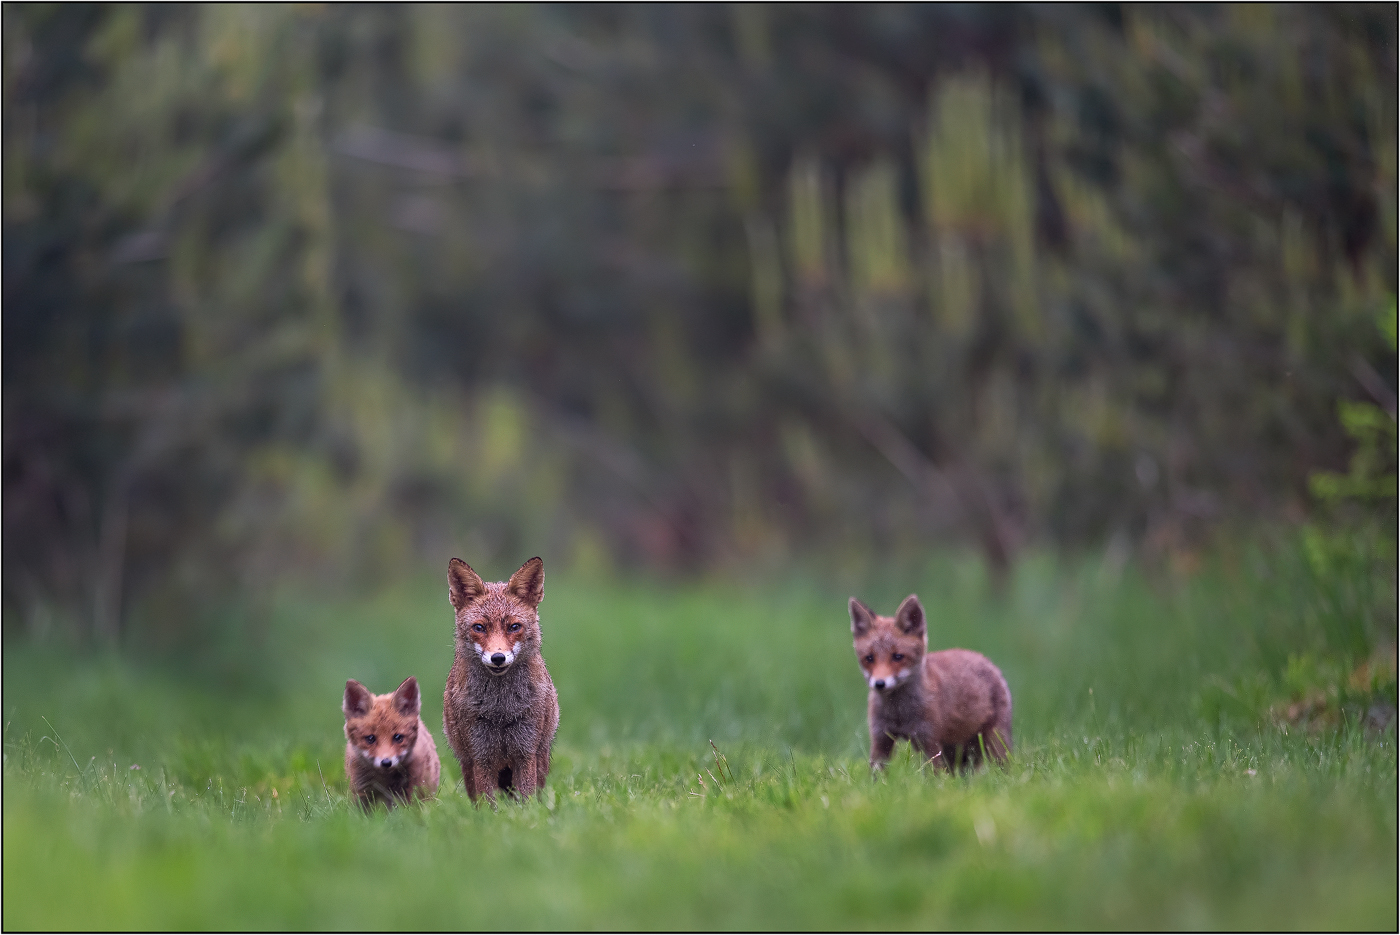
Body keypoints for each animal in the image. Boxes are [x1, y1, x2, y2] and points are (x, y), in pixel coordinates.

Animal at [341, 674, 439, 806]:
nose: (386, 762)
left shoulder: (410, 789)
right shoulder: (361, 791)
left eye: (398, 737)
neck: (384, 780)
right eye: (370, 738)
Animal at [445, 554, 560, 806]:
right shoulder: (481, 756)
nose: (498, 658)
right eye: (479, 627)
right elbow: (489, 805)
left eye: (514, 627)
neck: (501, 710)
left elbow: (526, 801)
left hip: (541, 759)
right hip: (467, 763)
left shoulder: (526, 752)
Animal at [845, 596, 1013, 772]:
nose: (879, 683)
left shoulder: (929, 741)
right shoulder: (880, 738)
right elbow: (876, 773)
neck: (899, 715)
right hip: (955, 753)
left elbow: (933, 775)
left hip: (994, 742)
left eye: (898, 657)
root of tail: (984, 659)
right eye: (869, 658)